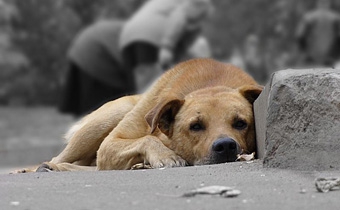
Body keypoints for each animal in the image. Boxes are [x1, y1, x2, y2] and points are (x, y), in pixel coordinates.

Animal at [15, 57, 262, 172]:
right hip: (108, 118)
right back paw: (40, 167)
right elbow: (147, 138)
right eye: (196, 126)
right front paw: (166, 156)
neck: (211, 84)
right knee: (60, 158)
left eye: (241, 123)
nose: (226, 146)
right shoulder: (110, 144)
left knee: (92, 167)